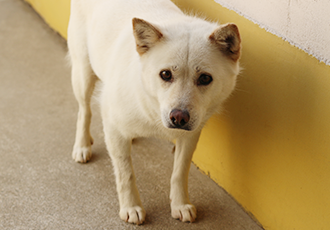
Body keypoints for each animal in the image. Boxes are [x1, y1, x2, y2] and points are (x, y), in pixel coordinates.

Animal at [67, 0, 240, 225]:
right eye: (165, 74)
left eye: (205, 78)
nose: (179, 118)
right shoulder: (113, 128)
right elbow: (126, 174)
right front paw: (131, 207)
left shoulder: (190, 136)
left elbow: (179, 172)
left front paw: (179, 205)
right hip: (83, 75)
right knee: (84, 111)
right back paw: (82, 145)